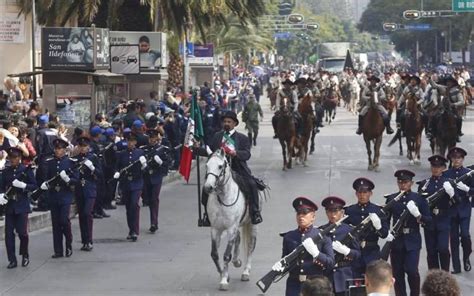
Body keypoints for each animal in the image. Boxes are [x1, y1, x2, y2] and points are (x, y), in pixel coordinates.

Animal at [202, 149, 258, 290]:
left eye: (220, 166)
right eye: (206, 166)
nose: (208, 187)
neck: (223, 197)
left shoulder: (231, 227)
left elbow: (226, 255)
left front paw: (223, 281)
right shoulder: (215, 229)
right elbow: (214, 254)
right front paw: (224, 275)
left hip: (252, 224)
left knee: (251, 245)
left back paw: (246, 272)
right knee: (238, 238)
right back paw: (237, 261)